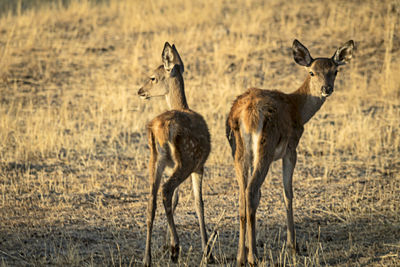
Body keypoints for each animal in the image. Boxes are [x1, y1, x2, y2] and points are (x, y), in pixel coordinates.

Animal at [137, 43, 212, 266]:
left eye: (153, 77)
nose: (140, 91)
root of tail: (158, 128)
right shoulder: (199, 165)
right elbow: (198, 203)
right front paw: (208, 253)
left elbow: (179, 199)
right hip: (185, 160)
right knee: (166, 190)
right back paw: (175, 248)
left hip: (156, 161)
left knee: (152, 199)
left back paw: (147, 257)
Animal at [227, 38, 354, 266]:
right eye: (312, 72)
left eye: (335, 71)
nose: (326, 88)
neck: (298, 109)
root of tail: (244, 114)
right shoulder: (291, 149)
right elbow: (288, 193)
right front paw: (293, 246)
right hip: (265, 150)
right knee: (251, 191)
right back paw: (253, 257)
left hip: (239, 153)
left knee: (243, 195)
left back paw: (241, 256)